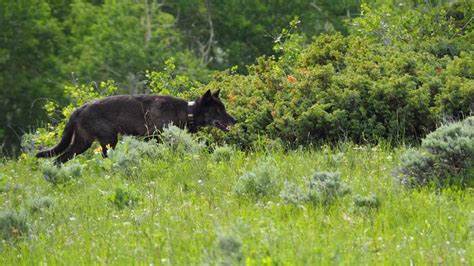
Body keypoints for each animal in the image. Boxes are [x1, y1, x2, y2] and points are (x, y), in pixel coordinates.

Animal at [36, 89, 236, 164]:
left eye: (223, 108)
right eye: (218, 110)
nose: (235, 121)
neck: (187, 111)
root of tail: (78, 109)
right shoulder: (153, 137)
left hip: (81, 144)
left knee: (58, 160)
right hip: (109, 140)